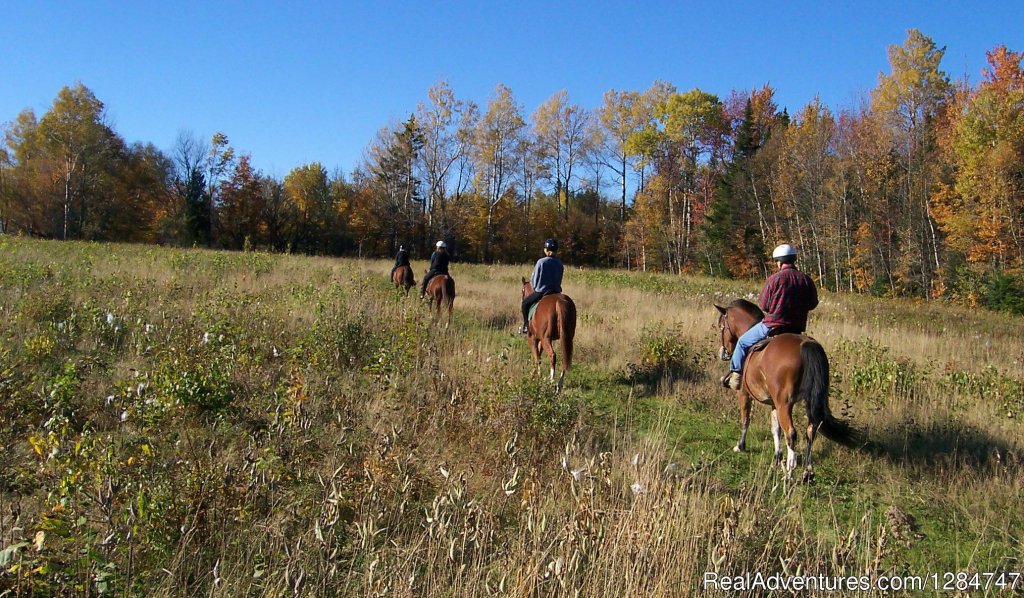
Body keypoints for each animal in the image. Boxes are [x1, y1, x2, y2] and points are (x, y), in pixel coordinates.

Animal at [716, 299, 860, 481]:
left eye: (721, 326)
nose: (723, 353)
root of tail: (806, 344)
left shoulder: (744, 394)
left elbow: (746, 419)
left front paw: (740, 446)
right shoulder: (774, 403)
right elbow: (775, 429)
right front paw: (777, 458)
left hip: (785, 404)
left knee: (791, 433)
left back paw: (790, 472)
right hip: (808, 401)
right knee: (810, 430)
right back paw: (807, 471)